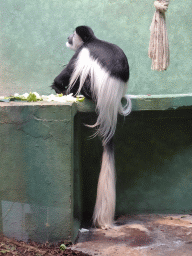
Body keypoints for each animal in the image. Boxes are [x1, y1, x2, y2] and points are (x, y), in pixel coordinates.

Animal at [51, 26, 131, 229]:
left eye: (72, 35)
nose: (68, 37)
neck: (93, 40)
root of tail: (109, 110)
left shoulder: (82, 53)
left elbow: (65, 75)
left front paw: (57, 86)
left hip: (89, 86)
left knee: (75, 78)